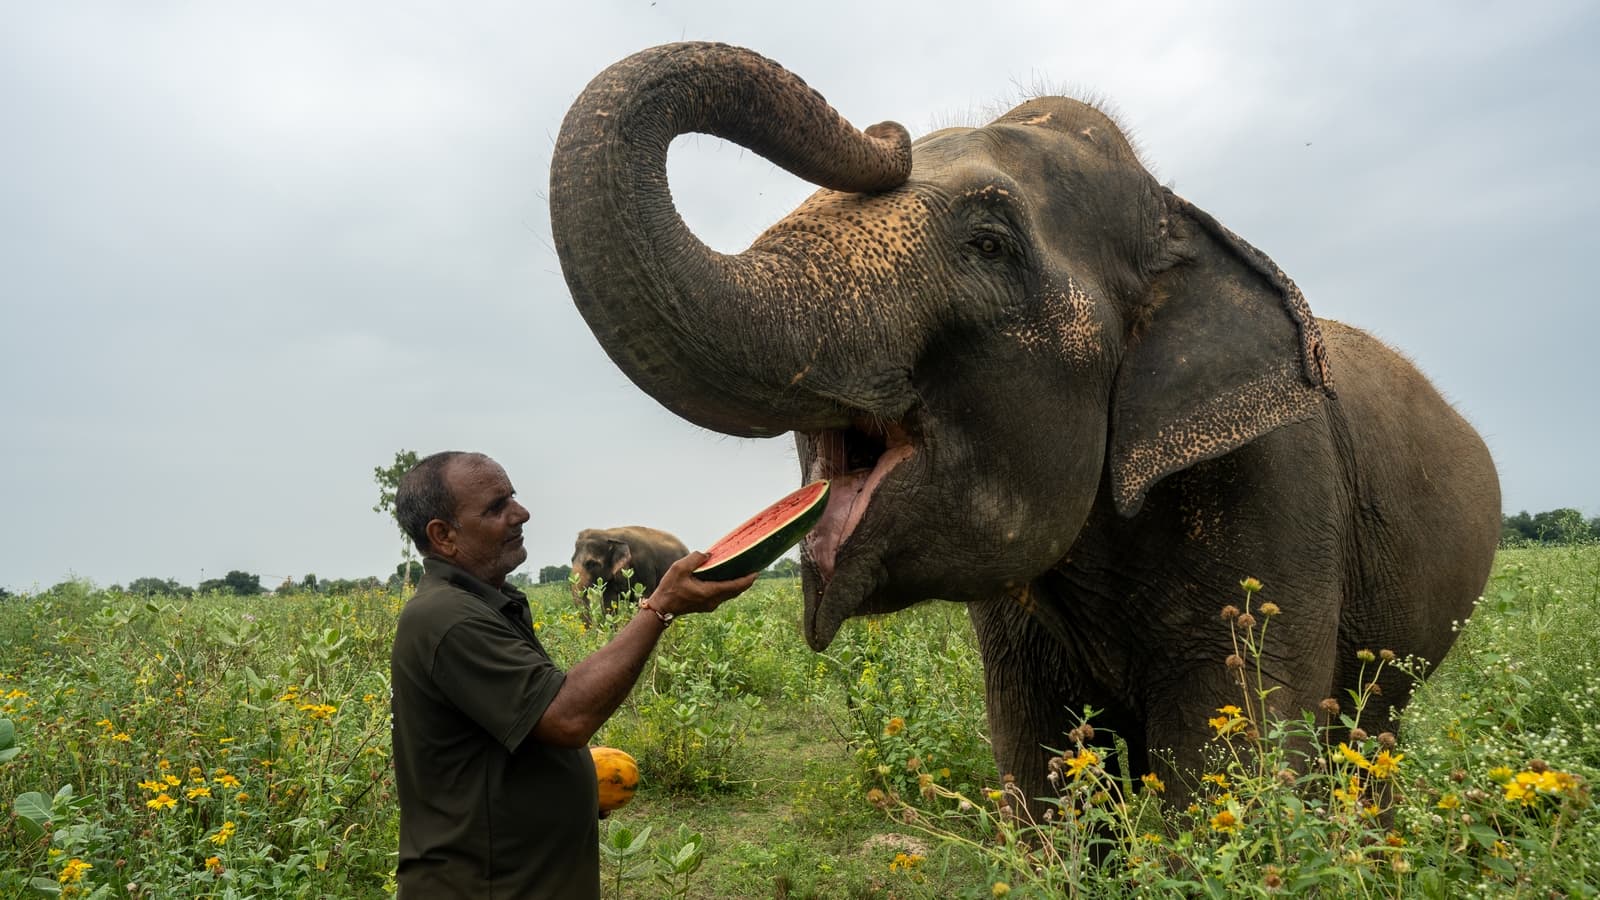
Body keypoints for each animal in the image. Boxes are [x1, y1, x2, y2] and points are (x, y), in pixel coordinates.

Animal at [548, 42, 1501, 808]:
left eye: (989, 244)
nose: (888, 131)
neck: (1178, 216)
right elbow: (1043, 767)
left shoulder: (1277, 487)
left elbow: (1229, 765)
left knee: (1370, 736)